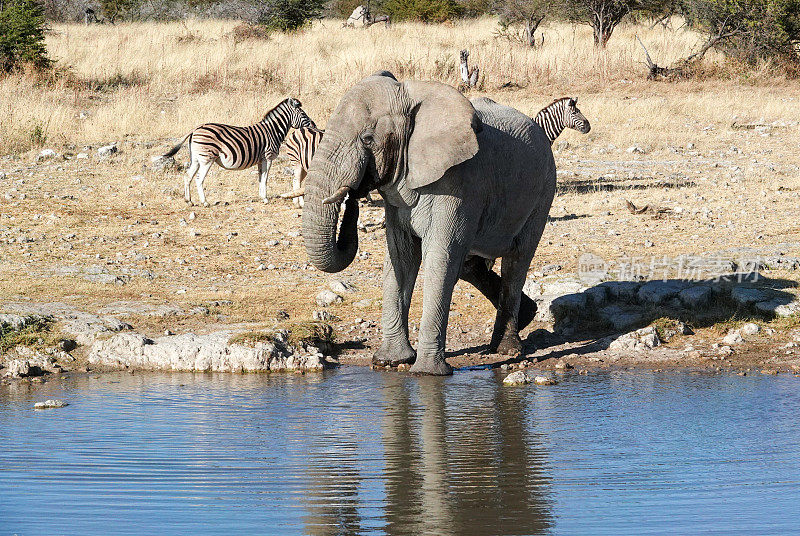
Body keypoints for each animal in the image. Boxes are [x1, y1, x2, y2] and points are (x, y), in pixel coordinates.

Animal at [161, 96, 314, 205]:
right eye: (303, 114)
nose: (314, 124)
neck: (273, 131)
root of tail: (196, 129)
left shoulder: (261, 159)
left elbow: (260, 178)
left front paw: (261, 197)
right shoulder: (268, 156)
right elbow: (265, 178)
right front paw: (265, 199)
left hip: (196, 159)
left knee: (188, 176)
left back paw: (189, 201)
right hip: (206, 158)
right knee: (199, 179)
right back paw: (205, 202)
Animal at [300, 70, 556, 372]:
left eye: (367, 139)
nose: (353, 194)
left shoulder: (459, 183)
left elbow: (439, 259)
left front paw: (427, 372)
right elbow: (400, 257)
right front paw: (389, 362)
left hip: (543, 190)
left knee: (517, 261)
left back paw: (507, 349)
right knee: (470, 264)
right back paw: (527, 317)